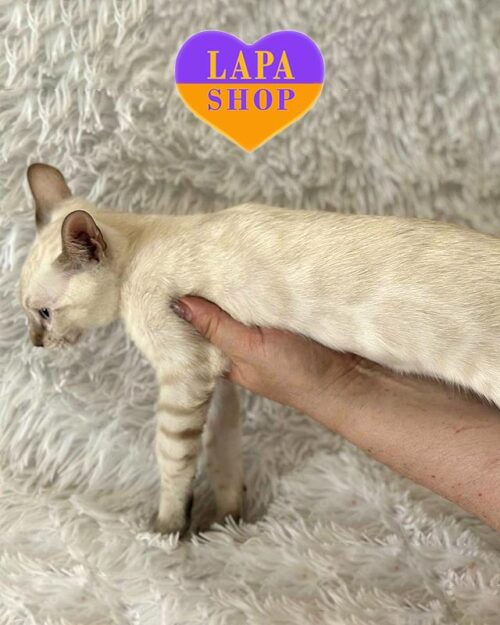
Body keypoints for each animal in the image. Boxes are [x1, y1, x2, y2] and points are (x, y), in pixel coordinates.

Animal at [20, 163, 500, 534]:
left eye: (44, 313)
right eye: (30, 315)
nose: (36, 344)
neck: (139, 248)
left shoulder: (183, 374)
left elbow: (172, 461)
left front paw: (166, 532)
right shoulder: (219, 376)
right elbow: (223, 452)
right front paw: (224, 521)